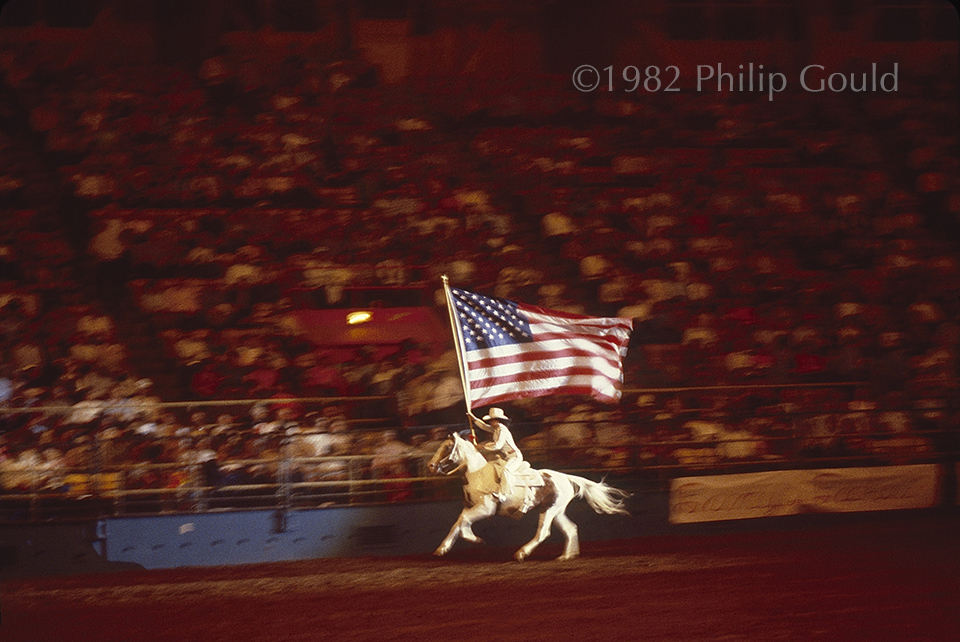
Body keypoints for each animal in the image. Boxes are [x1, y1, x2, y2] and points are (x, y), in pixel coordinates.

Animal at [428, 430, 632, 560]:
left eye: (447, 447)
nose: (430, 465)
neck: (477, 473)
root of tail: (566, 477)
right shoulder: (470, 507)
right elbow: (458, 522)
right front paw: (442, 549)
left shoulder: (485, 509)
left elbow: (463, 522)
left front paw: (475, 539)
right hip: (556, 511)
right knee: (571, 528)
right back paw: (567, 556)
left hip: (549, 510)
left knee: (543, 532)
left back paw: (521, 553)